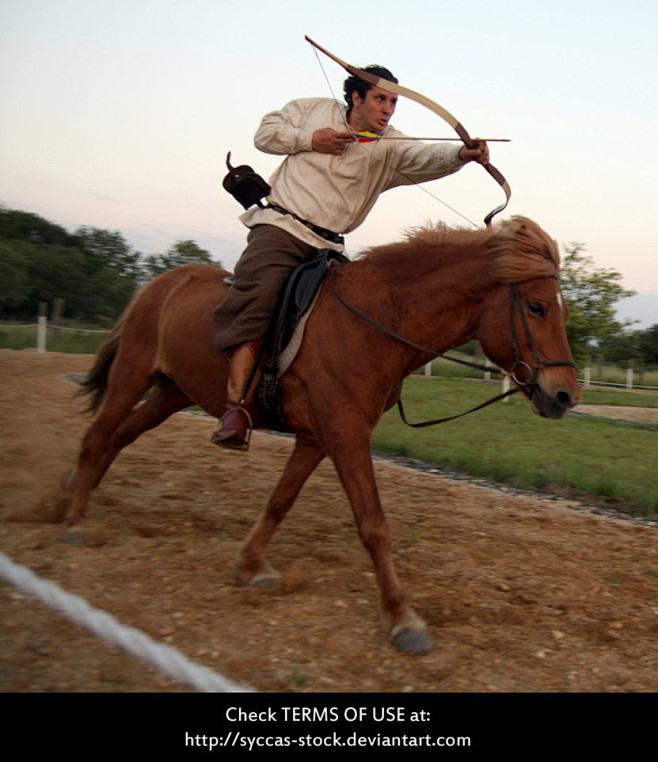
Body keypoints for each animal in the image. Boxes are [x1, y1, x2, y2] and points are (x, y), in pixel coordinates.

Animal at [65, 215, 580, 652]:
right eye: (536, 307)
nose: (564, 396)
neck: (375, 322)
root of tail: (161, 283)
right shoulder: (347, 435)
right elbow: (373, 524)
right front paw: (403, 619)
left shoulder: (319, 438)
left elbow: (280, 501)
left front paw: (250, 565)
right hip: (132, 375)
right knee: (96, 437)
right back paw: (73, 520)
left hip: (172, 392)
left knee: (119, 437)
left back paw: (70, 496)